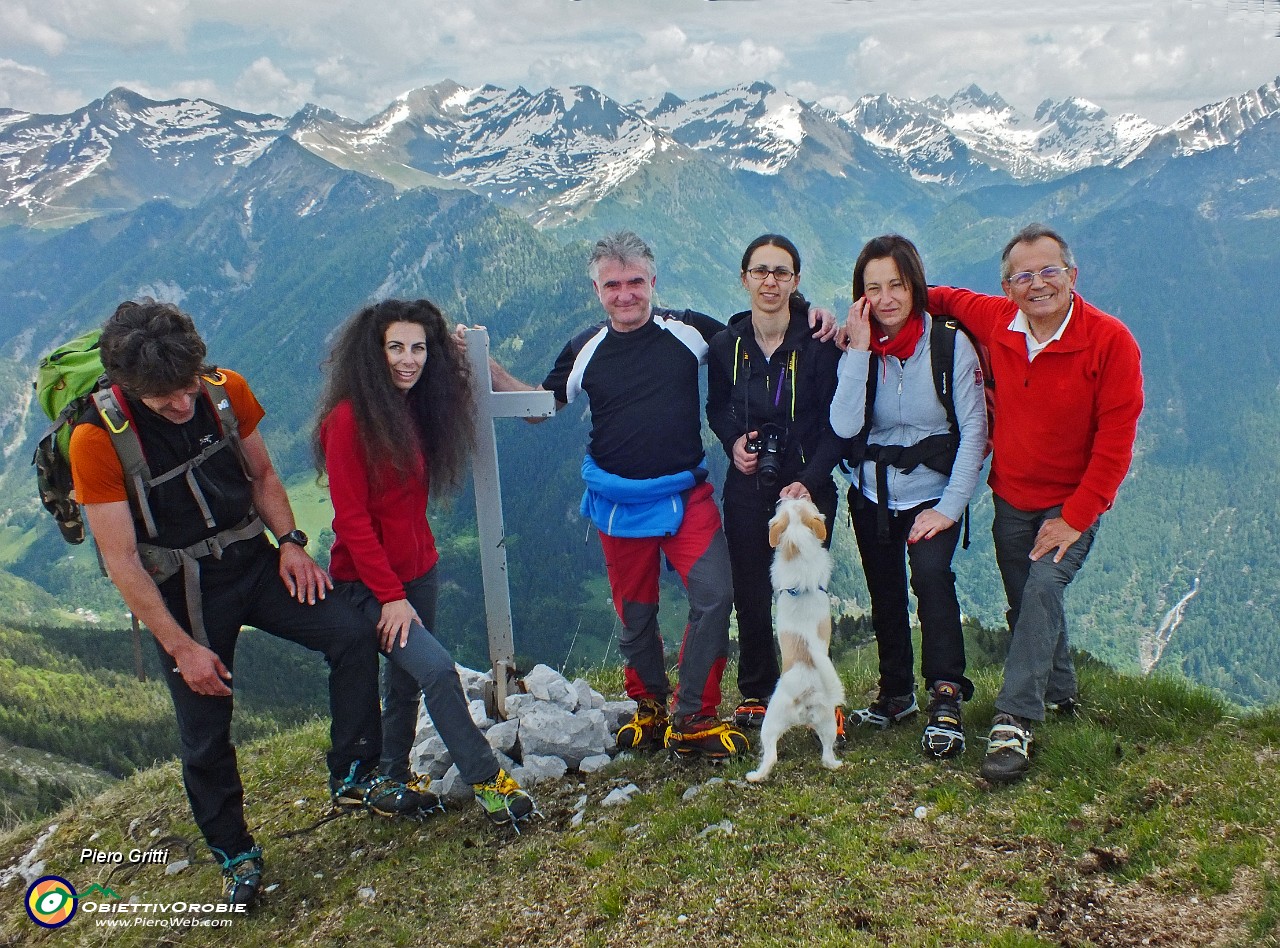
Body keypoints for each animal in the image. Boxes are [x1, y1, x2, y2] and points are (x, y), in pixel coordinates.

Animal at [747, 496, 844, 782]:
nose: (786, 496)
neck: (796, 541)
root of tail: (806, 693)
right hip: (823, 722)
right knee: (824, 755)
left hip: (772, 721)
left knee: (772, 755)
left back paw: (754, 776)